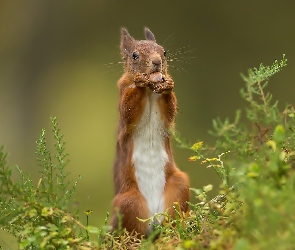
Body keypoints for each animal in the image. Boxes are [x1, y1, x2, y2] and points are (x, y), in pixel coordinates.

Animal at [111, 27, 190, 236]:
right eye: (134, 55)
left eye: (164, 52)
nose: (156, 62)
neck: (150, 90)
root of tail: (154, 216)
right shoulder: (123, 96)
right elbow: (129, 109)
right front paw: (139, 82)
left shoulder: (165, 113)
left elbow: (170, 109)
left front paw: (168, 85)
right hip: (128, 201)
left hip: (179, 185)